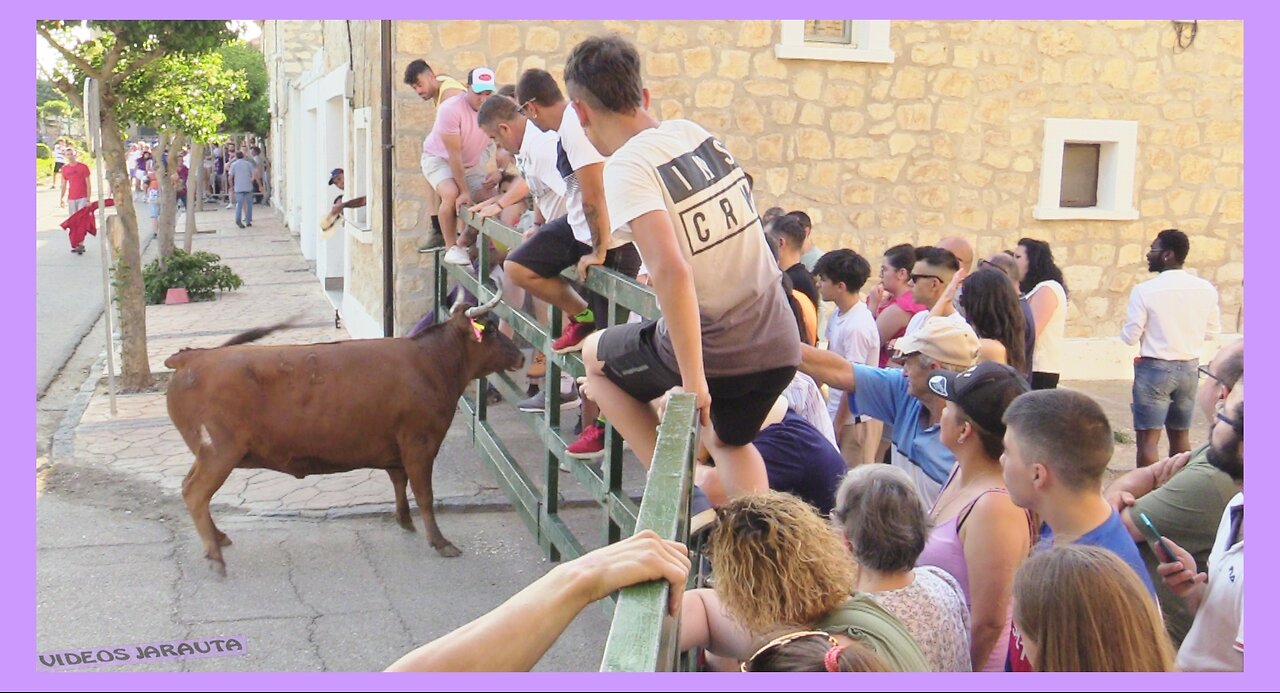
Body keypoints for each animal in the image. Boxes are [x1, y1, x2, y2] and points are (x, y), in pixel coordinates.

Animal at [167, 283, 522, 576]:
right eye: (491, 329)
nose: (519, 355)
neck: (430, 363)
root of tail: (194, 358)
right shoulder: (420, 443)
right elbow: (424, 494)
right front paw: (439, 541)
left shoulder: (396, 447)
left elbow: (399, 482)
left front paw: (404, 521)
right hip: (219, 453)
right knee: (196, 493)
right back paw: (215, 555)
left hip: (207, 454)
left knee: (189, 488)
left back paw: (219, 538)